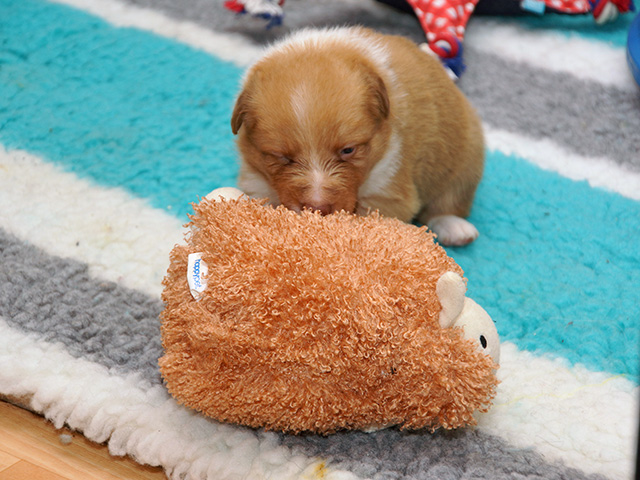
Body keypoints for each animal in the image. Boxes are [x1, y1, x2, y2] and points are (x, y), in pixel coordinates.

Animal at [231, 26, 485, 246]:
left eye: (348, 150)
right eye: (281, 157)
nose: (318, 208)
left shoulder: (388, 186)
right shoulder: (255, 179)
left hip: (465, 161)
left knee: (448, 201)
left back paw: (456, 229)